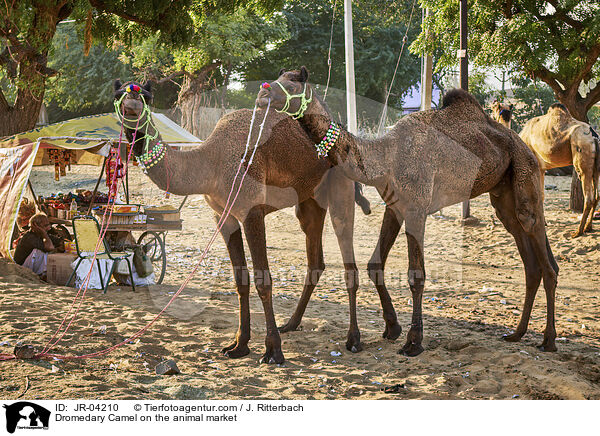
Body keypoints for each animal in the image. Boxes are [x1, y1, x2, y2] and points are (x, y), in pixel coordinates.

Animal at [112, 79, 376, 364]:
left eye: (146, 98)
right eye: (118, 96)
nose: (131, 108)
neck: (211, 162)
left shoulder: (251, 212)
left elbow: (263, 280)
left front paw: (273, 351)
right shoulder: (223, 216)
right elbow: (241, 279)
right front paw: (239, 344)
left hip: (341, 186)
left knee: (348, 259)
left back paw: (353, 339)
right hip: (308, 199)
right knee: (315, 258)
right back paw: (291, 323)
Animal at [258, 67, 564, 354]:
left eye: (291, 85)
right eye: (278, 78)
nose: (263, 93)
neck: (385, 156)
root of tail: (527, 147)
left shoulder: (417, 209)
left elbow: (416, 275)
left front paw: (413, 341)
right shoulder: (394, 207)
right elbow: (375, 264)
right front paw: (392, 328)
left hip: (526, 177)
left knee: (544, 258)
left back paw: (549, 340)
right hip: (503, 195)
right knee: (529, 261)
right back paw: (517, 333)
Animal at [516, 103, 596, 237]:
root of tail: (594, 135)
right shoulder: (541, 168)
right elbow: (541, 195)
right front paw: (544, 223)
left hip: (583, 158)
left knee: (589, 198)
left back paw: (578, 231)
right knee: (596, 196)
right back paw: (588, 228)